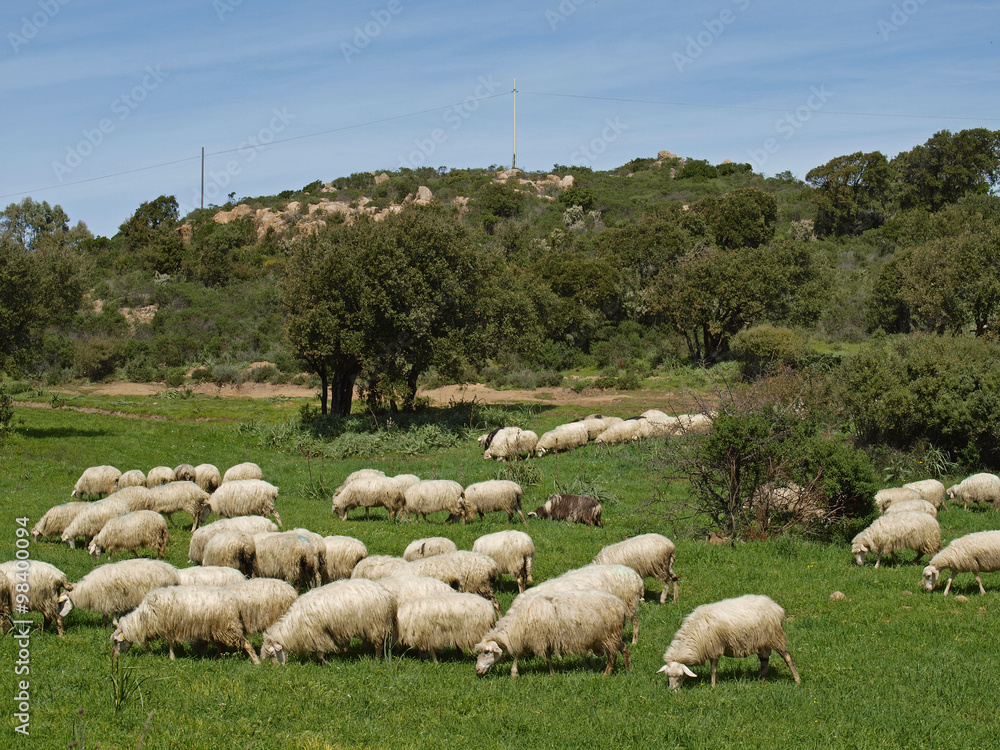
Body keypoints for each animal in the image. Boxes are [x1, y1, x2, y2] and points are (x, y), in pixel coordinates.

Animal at [111, 584, 259, 663]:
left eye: (116, 641)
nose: (115, 657)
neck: (143, 618)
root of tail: (234, 600)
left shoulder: (167, 626)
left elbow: (170, 643)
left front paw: (171, 658)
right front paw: (149, 653)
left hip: (228, 627)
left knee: (245, 643)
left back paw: (256, 661)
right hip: (218, 629)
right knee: (222, 646)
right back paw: (216, 659)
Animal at [260, 579, 396, 664]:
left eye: (272, 654)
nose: (277, 668)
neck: (294, 625)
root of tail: (386, 594)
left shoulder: (318, 633)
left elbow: (320, 652)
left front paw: (327, 663)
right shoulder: (311, 636)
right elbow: (314, 651)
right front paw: (314, 660)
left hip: (376, 624)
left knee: (378, 644)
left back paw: (376, 659)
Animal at [474, 588, 632, 678]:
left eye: (487, 652)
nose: (477, 670)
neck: (516, 624)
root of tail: (621, 605)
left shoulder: (533, 638)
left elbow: (517, 655)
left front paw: (514, 673)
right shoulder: (545, 639)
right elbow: (549, 657)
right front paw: (552, 673)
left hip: (608, 635)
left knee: (613, 655)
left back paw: (606, 674)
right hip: (613, 635)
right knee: (625, 648)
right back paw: (628, 670)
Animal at [657, 594, 800, 689]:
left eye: (680, 676)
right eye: (668, 676)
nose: (672, 691)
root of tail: (776, 607)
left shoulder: (714, 648)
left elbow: (713, 670)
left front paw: (713, 686)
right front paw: (716, 682)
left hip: (775, 637)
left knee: (787, 657)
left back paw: (797, 680)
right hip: (763, 642)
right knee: (764, 661)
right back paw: (762, 681)